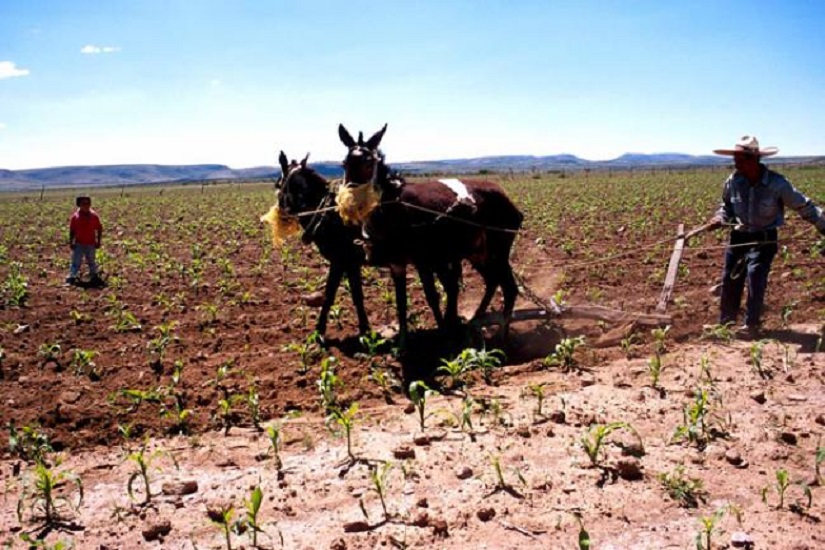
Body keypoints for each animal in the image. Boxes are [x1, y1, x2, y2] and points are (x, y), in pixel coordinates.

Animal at [340, 124, 520, 344]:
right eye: (344, 164)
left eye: (368, 163)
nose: (349, 204)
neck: (394, 207)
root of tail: (505, 198)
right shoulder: (397, 264)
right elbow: (401, 301)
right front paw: (403, 341)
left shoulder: (424, 261)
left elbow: (432, 295)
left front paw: (443, 333)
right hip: (478, 253)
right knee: (493, 282)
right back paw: (475, 320)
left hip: (498, 252)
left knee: (509, 288)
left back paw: (501, 336)